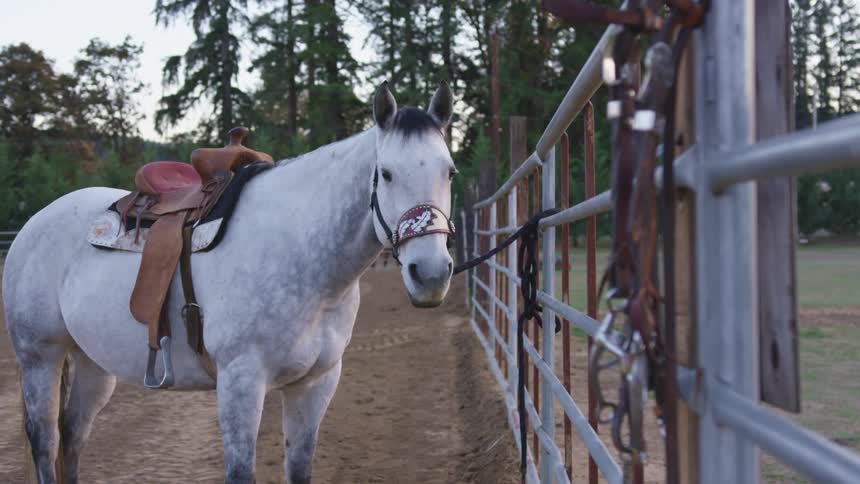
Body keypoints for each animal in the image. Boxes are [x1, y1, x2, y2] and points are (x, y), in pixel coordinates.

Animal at [2, 81, 457, 484]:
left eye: (450, 172)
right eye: (387, 173)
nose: (430, 273)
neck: (300, 254)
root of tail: (34, 223)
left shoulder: (316, 383)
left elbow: (300, 470)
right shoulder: (242, 382)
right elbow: (241, 473)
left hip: (93, 364)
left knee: (73, 437)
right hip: (40, 358)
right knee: (45, 443)